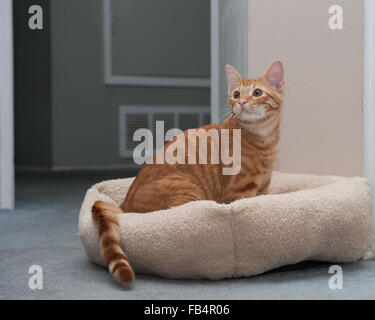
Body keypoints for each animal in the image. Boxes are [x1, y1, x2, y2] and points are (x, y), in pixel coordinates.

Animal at [92, 61, 284, 284]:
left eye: (257, 92)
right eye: (236, 94)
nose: (242, 102)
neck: (263, 139)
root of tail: (124, 205)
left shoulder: (264, 186)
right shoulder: (239, 191)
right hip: (187, 191)